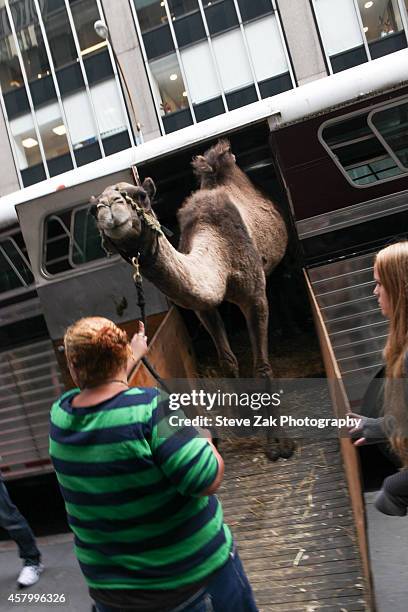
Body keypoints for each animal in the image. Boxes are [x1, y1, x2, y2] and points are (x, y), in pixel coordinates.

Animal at [92, 140, 292, 460]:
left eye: (141, 196)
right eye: (92, 209)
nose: (109, 206)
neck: (220, 253)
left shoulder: (254, 296)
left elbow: (262, 363)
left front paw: (278, 444)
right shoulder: (203, 307)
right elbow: (226, 360)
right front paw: (244, 422)